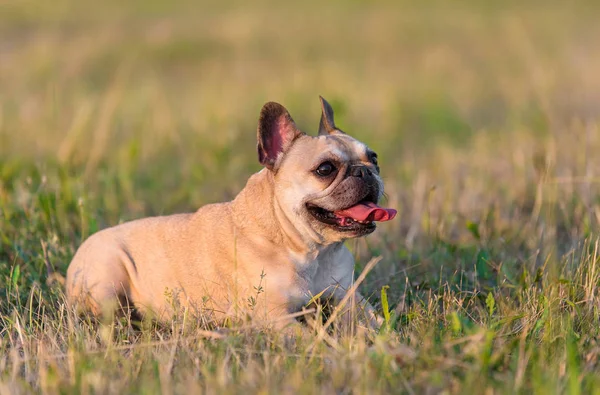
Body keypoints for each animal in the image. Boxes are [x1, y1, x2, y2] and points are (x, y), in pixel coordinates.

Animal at [65, 97, 396, 330]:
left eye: (375, 158)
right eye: (325, 169)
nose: (366, 172)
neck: (311, 250)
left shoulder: (350, 299)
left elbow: (379, 324)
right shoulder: (273, 317)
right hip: (109, 277)